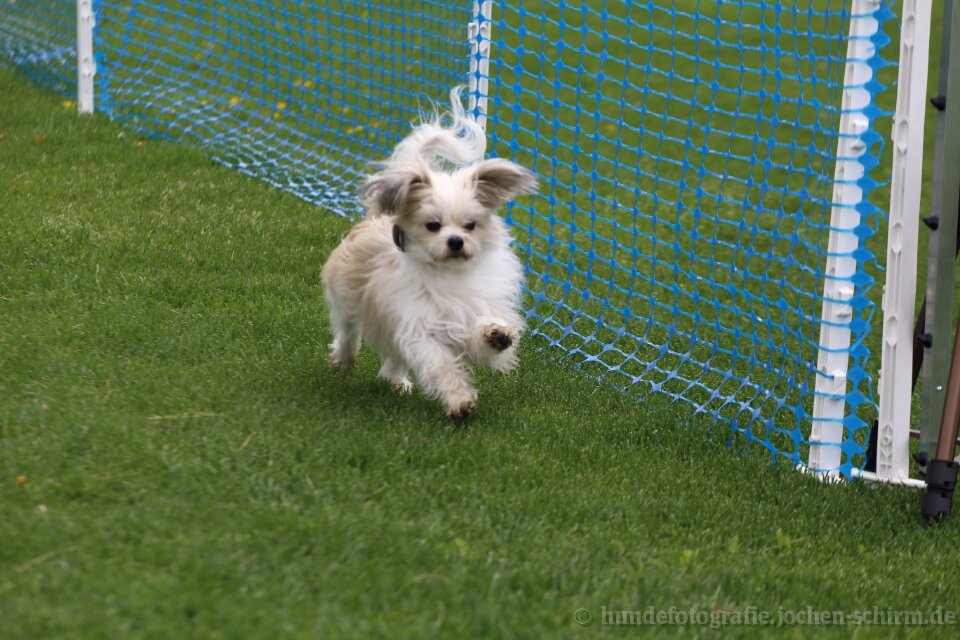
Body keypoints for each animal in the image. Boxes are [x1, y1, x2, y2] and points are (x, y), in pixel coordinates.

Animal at [321, 88, 536, 419]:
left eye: (470, 225)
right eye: (433, 225)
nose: (456, 242)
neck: (448, 273)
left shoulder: (468, 310)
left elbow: (482, 336)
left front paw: (496, 334)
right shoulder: (418, 326)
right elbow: (441, 365)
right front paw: (460, 402)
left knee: (395, 356)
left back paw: (396, 381)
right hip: (347, 299)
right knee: (348, 332)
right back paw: (343, 360)